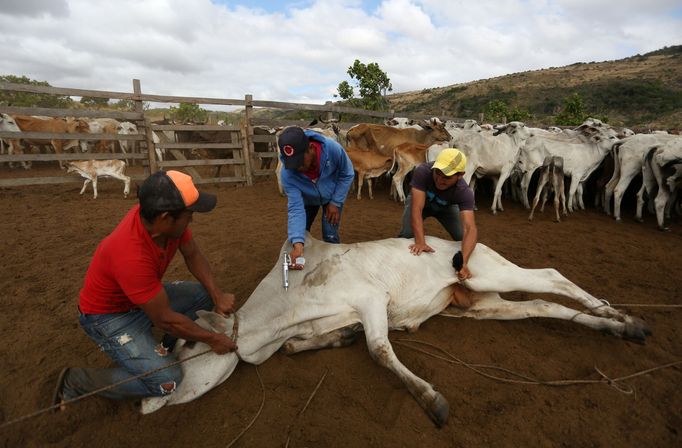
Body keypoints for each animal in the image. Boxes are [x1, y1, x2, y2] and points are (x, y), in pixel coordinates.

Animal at [139, 233, 648, 426]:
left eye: (181, 343)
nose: (149, 398)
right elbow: (297, 348)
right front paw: (337, 339)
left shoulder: (371, 302)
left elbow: (380, 351)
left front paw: (431, 399)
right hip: (480, 305)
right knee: (542, 303)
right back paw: (619, 326)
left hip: (488, 274)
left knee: (550, 276)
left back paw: (623, 316)